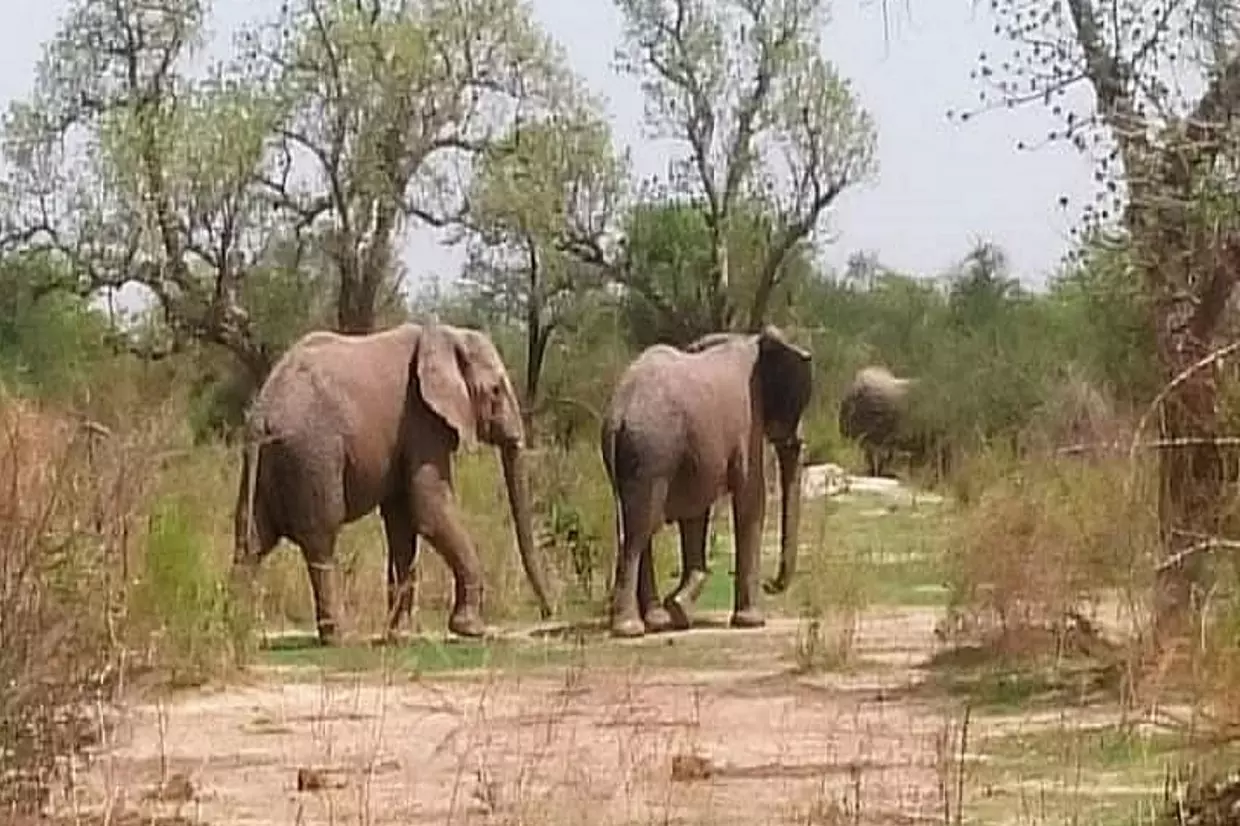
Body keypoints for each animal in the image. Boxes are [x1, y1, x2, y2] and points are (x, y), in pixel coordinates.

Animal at [232, 322, 555, 646]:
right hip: (313, 456)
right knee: (320, 541)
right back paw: (340, 638)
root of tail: (261, 416)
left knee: (252, 541)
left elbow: (402, 522)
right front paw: (471, 630)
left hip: (265, 463)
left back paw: (241, 632)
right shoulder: (422, 419)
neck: (446, 335)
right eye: (496, 390)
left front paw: (400, 636)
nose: (548, 612)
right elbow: (429, 509)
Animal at [599, 325, 813, 638]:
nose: (770, 584)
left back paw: (656, 621)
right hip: (653, 450)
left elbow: (695, 512)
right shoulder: (747, 421)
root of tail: (618, 414)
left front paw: (679, 606)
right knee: (640, 530)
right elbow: (751, 496)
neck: (753, 341)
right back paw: (630, 628)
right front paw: (751, 622)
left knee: (636, 527)